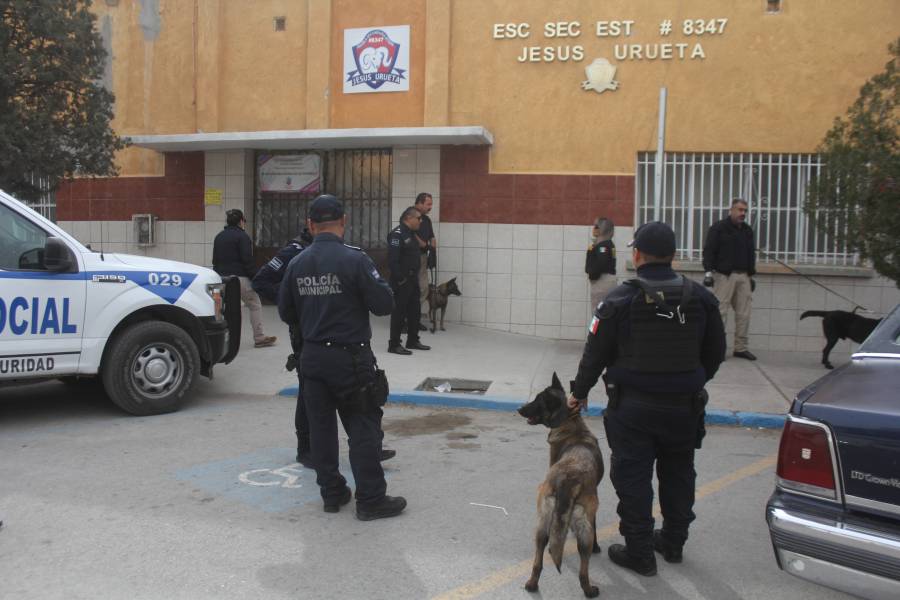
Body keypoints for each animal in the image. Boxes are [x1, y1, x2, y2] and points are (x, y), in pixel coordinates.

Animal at [520, 372, 604, 596]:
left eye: (537, 401)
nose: (519, 409)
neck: (570, 422)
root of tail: (569, 479)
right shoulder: (592, 512)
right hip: (581, 526)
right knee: (582, 565)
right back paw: (588, 590)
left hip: (542, 523)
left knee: (540, 555)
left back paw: (533, 584)